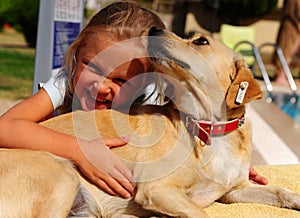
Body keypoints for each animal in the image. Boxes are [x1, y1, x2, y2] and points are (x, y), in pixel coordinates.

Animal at [0, 28, 300, 217]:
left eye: (201, 41)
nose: (154, 29)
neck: (210, 130)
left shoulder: (233, 191)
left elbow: (278, 190)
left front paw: (295, 198)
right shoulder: (158, 189)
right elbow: (201, 213)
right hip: (63, 176)